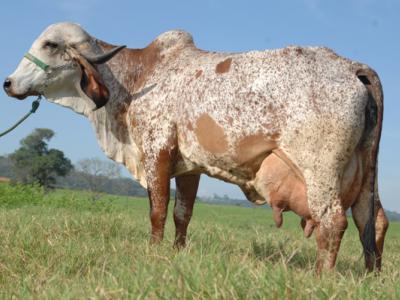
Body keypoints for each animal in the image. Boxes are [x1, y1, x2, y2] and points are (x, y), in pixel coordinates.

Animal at [3, 22, 390, 274]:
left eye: (50, 45)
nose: (8, 83)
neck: (139, 77)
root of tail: (352, 67)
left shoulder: (156, 151)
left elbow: (157, 211)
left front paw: (154, 253)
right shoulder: (189, 167)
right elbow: (181, 214)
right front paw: (177, 252)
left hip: (320, 172)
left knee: (333, 221)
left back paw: (322, 277)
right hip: (363, 175)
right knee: (372, 221)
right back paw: (370, 276)